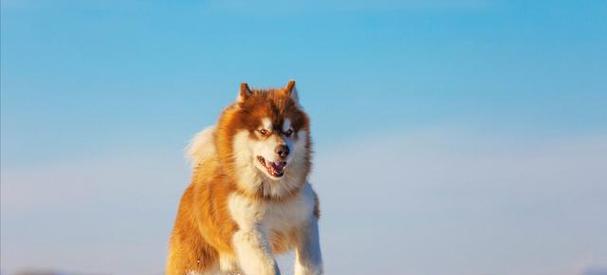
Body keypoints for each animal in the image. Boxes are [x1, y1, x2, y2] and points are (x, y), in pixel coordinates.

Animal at [164, 82, 326, 275]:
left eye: (289, 131)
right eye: (263, 131)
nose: (283, 150)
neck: (273, 195)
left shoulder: (306, 219)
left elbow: (310, 262)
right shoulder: (248, 231)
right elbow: (268, 266)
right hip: (196, 261)